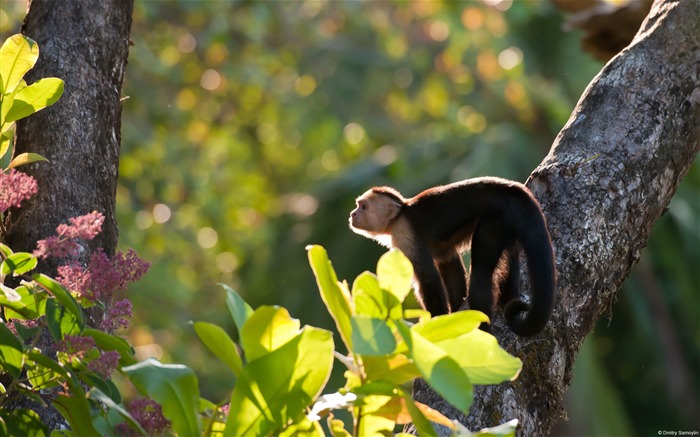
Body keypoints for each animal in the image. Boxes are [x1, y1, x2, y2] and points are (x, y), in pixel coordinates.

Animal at [352, 175, 556, 336]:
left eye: (363, 207)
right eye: (358, 206)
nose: (353, 214)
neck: (399, 215)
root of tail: (507, 188)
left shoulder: (403, 233)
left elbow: (428, 279)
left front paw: (435, 325)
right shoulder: (440, 250)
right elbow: (449, 264)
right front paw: (456, 312)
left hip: (496, 218)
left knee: (481, 274)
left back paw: (483, 329)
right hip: (508, 223)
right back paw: (509, 298)